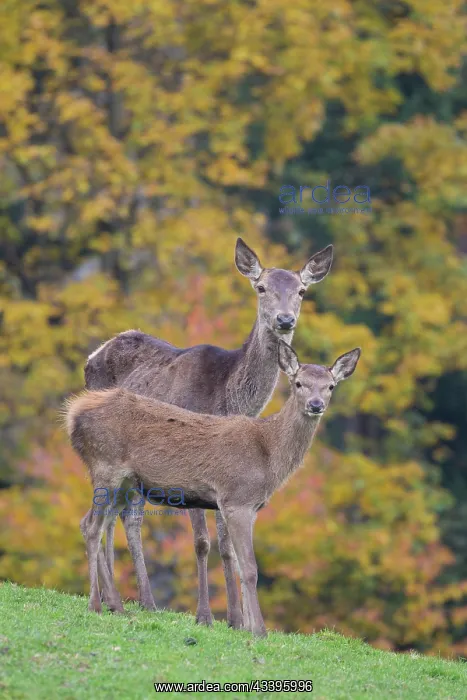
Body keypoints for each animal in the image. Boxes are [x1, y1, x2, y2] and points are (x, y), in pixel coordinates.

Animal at [67, 341, 361, 636]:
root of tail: (72, 415)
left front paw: (246, 625)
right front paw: (259, 631)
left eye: (330, 386)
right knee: (92, 527)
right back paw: (96, 605)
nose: (316, 405)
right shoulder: (236, 499)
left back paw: (117, 605)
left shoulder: (252, 507)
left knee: (92, 522)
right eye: (299, 383)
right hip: (105, 466)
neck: (268, 454)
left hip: (126, 482)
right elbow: (250, 568)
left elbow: (241, 565)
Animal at [83, 238, 333, 629]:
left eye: (302, 291)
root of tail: (94, 353)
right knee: (122, 518)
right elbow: (201, 541)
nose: (284, 320)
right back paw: (137, 601)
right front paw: (205, 615)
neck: (225, 398)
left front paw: (236, 618)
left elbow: (227, 545)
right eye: (261, 287)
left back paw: (123, 600)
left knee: (121, 516)